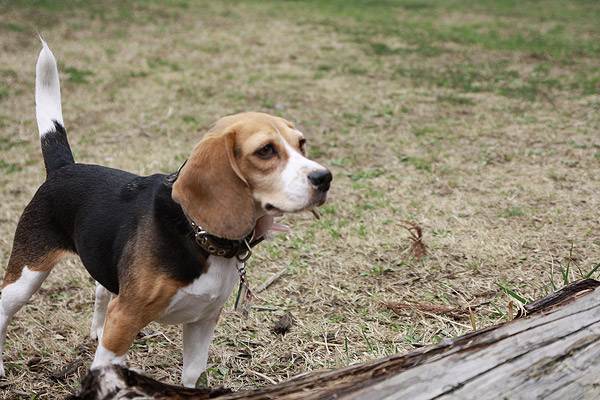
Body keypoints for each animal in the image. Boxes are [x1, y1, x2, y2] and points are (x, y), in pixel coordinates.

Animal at [0, 42, 330, 386]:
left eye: (301, 144)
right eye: (265, 150)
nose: (324, 178)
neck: (197, 233)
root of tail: (63, 168)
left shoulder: (203, 320)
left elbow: (193, 374)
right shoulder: (126, 316)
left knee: (101, 289)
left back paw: (98, 329)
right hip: (27, 275)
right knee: (4, 309)